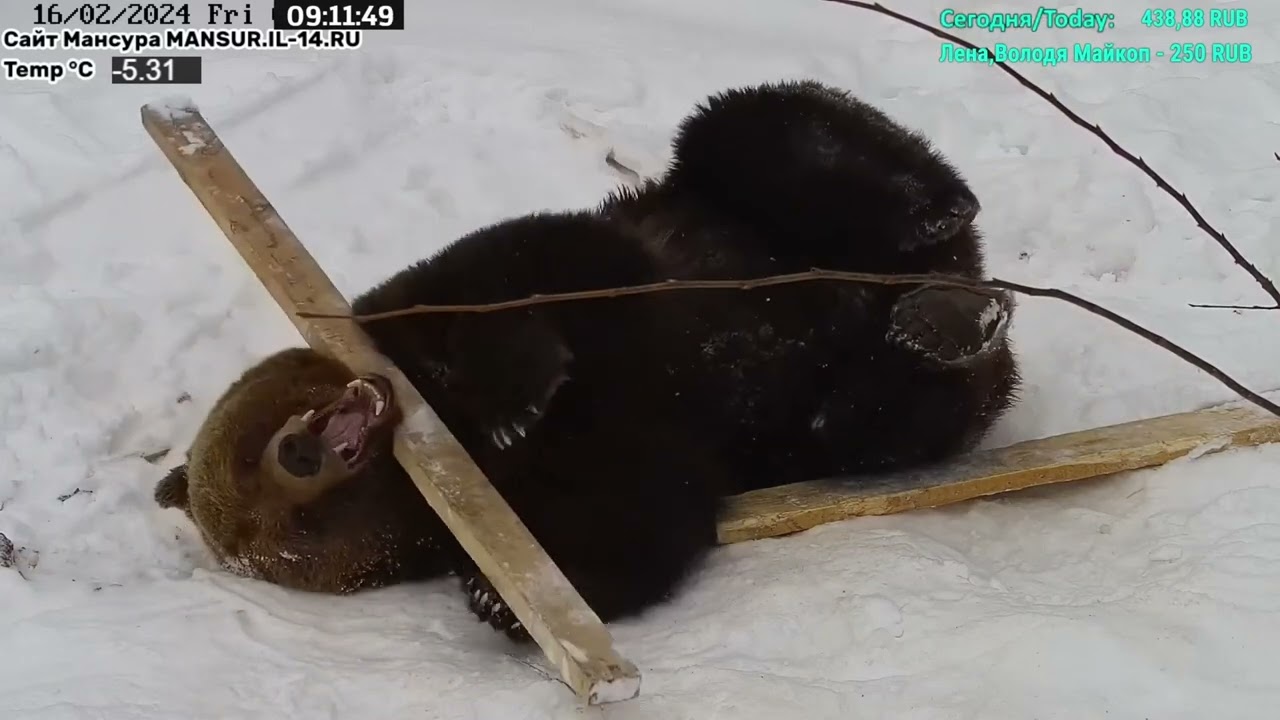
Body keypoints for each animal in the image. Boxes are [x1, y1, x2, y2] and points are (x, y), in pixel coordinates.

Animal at [154, 78, 1019, 642]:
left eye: (248, 444)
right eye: (288, 527)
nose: (300, 450)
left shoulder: (458, 292)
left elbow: (516, 273)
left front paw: (517, 395)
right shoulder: (561, 479)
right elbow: (635, 513)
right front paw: (497, 596)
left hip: (758, 201)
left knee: (780, 136)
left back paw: (936, 243)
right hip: (840, 418)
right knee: (883, 414)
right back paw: (942, 325)